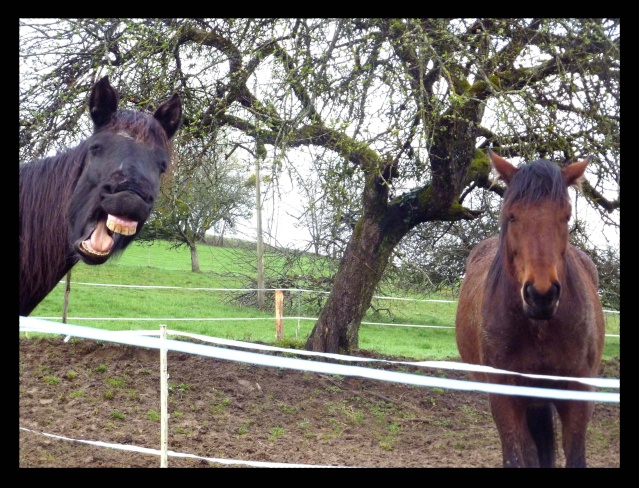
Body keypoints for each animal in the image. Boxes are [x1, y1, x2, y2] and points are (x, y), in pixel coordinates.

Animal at [456, 150, 604, 468]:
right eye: (512, 215)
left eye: (566, 215)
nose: (541, 295)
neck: (540, 328)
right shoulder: (505, 395)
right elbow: (517, 455)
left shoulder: (578, 393)